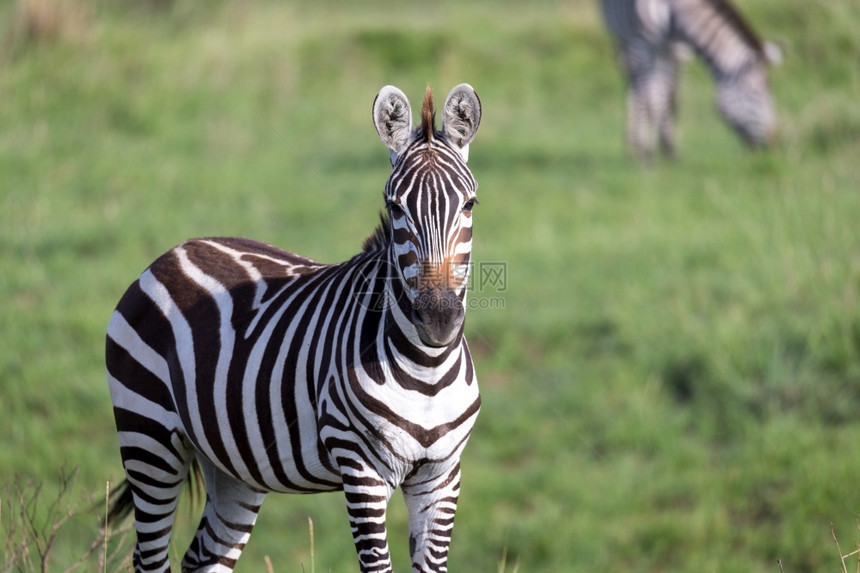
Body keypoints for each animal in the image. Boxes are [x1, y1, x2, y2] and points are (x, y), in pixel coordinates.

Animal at [106, 85, 484, 572]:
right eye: (394, 206)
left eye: (470, 204)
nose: (438, 320)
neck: (427, 369)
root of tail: (172, 253)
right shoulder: (361, 471)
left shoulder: (442, 477)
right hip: (147, 436)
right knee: (149, 555)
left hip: (232, 465)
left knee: (201, 558)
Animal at [600, 0, 784, 160]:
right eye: (755, 94)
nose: (773, 142)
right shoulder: (643, 45)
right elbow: (650, 103)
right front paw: (647, 156)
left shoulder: (680, 49)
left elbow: (671, 98)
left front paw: (669, 149)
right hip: (627, 42)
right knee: (635, 87)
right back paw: (634, 147)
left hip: (663, 52)